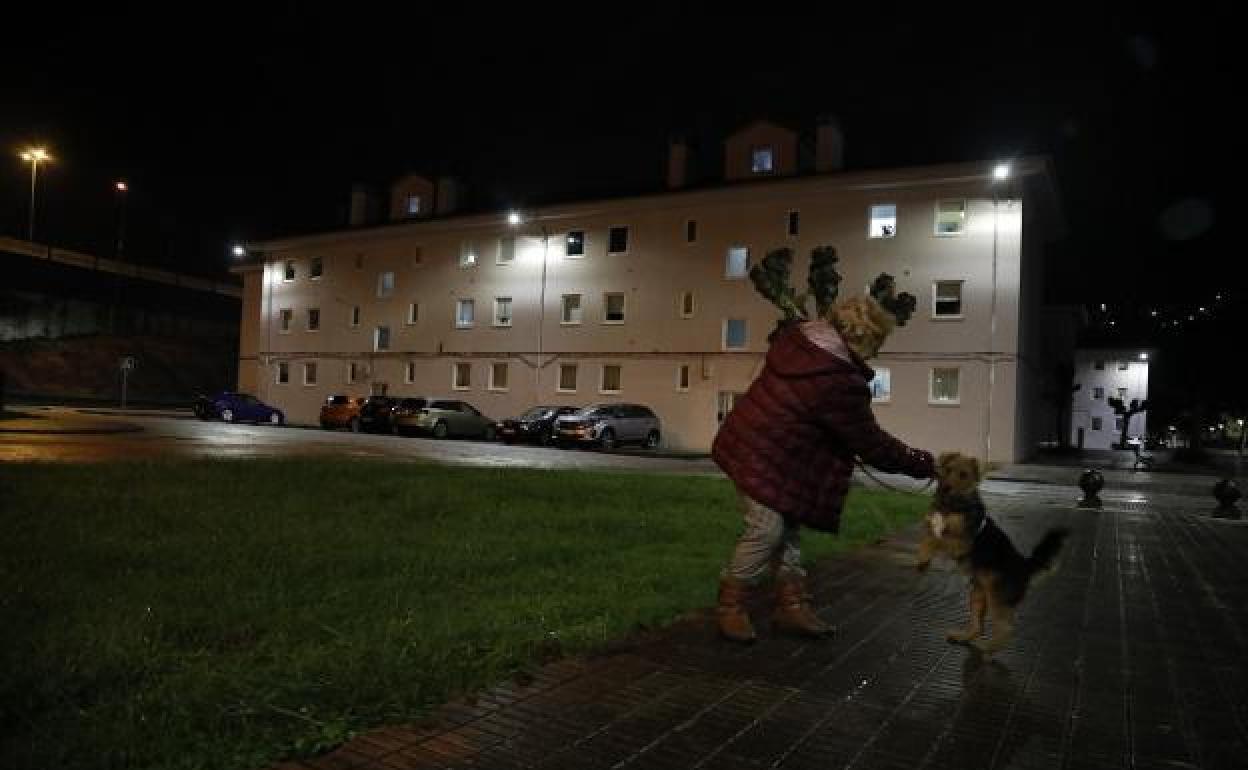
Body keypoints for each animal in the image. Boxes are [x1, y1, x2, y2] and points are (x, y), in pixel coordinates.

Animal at [913, 449, 1068, 653]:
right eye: (947, 469)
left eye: (963, 475)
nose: (946, 487)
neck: (951, 506)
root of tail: (1025, 566)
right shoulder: (930, 526)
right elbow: (928, 540)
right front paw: (922, 559)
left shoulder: (962, 542)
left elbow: (939, 541)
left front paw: (926, 555)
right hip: (977, 595)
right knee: (979, 627)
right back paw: (963, 637)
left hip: (997, 598)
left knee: (1006, 628)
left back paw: (988, 649)